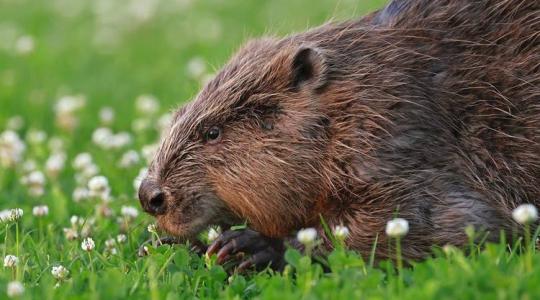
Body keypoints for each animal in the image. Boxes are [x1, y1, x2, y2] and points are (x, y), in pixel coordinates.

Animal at [139, 0, 540, 270]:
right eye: (178, 114)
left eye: (212, 132)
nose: (149, 196)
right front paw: (169, 244)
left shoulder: (398, 141)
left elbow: (458, 223)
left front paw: (249, 245)